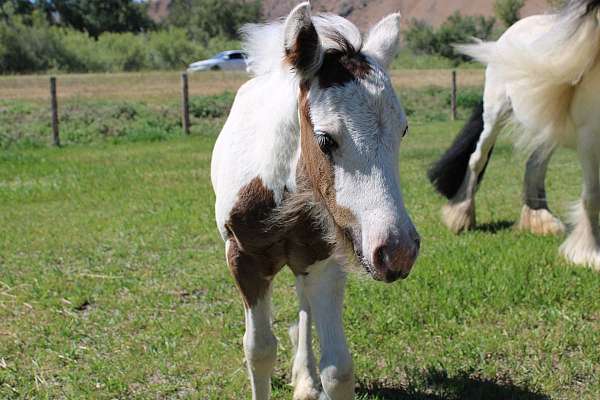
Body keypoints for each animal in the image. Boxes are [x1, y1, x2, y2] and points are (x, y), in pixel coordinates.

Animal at [211, 2, 422, 396]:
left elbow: (337, 368)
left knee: (303, 303)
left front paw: (313, 379)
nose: (397, 251)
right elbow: (259, 350)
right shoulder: (242, 258)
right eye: (325, 138)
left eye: (403, 131)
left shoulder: (325, 260)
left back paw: (305, 381)